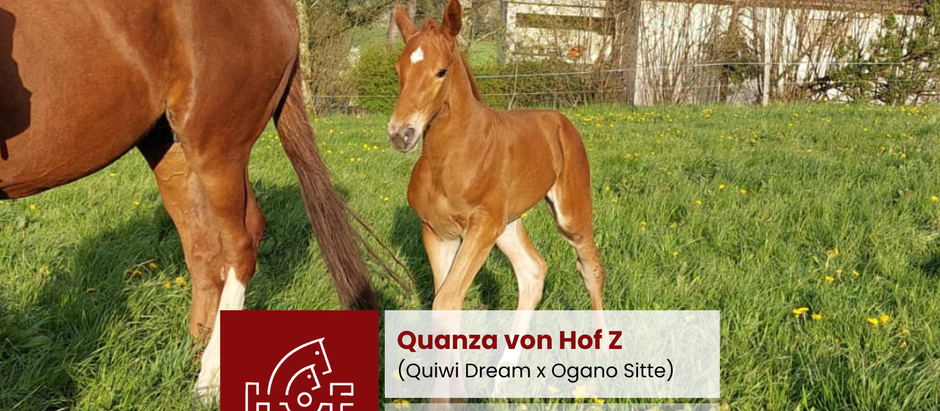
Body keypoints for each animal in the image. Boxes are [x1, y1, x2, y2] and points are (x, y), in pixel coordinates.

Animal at [1, 0, 378, 403]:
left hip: (217, 151)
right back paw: (193, 352)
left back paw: (208, 378)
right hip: (171, 149)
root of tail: (279, 6)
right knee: (205, 251)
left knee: (241, 245)